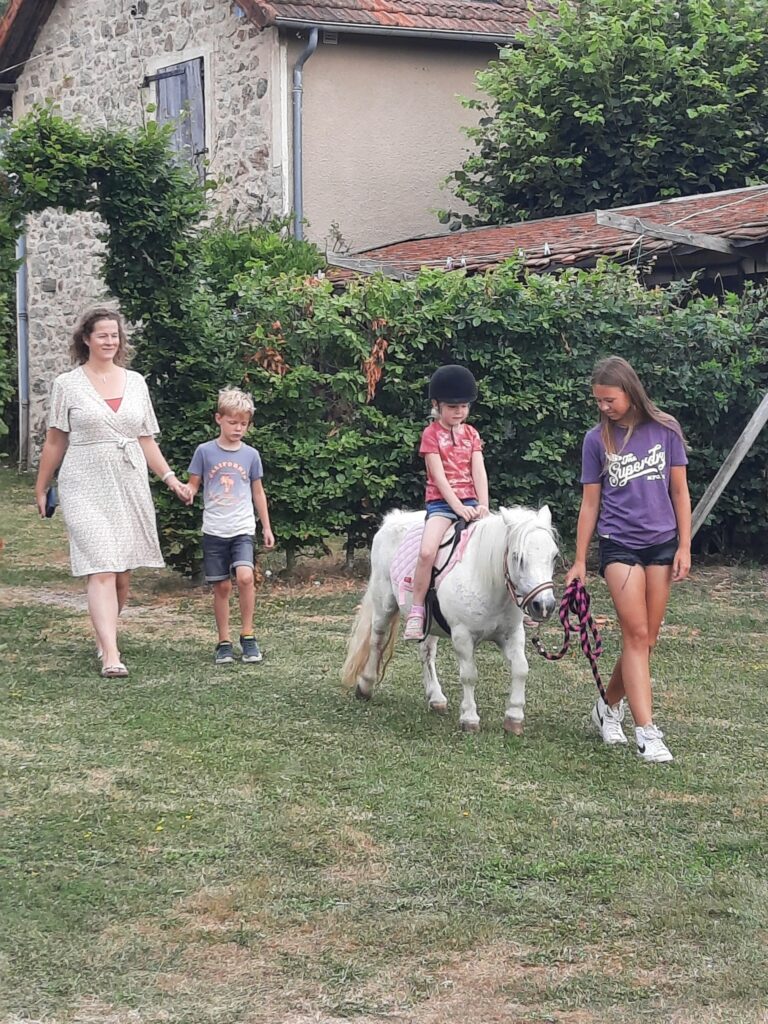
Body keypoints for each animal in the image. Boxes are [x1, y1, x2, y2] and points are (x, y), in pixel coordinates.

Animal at [341, 506, 559, 734]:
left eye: (554, 556)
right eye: (518, 557)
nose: (544, 606)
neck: (485, 579)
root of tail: (391, 521)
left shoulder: (512, 634)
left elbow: (521, 670)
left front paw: (514, 718)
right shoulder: (462, 635)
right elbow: (469, 675)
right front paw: (469, 718)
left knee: (426, 653)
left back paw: (436, 698)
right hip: (384, 604)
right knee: (376, 641)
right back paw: (365, 686)